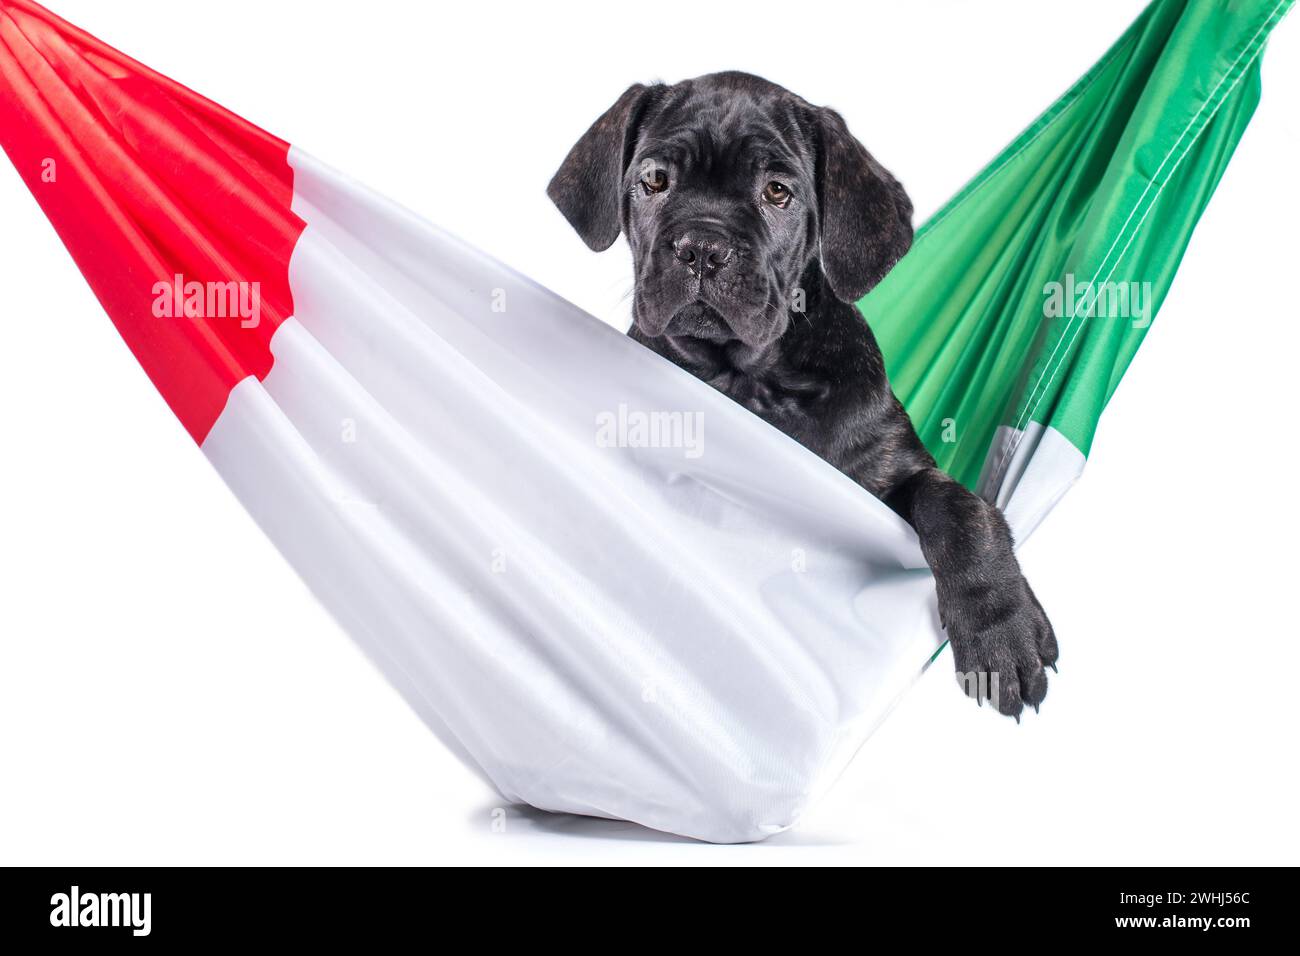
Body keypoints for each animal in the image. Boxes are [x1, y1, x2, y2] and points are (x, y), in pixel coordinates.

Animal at [548, 72, 1055, 717]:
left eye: (778, 192)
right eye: (655, 180)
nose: (702, 248)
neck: (751, 378)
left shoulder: (894, 470)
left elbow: (961, 508)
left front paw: (1002, 633)